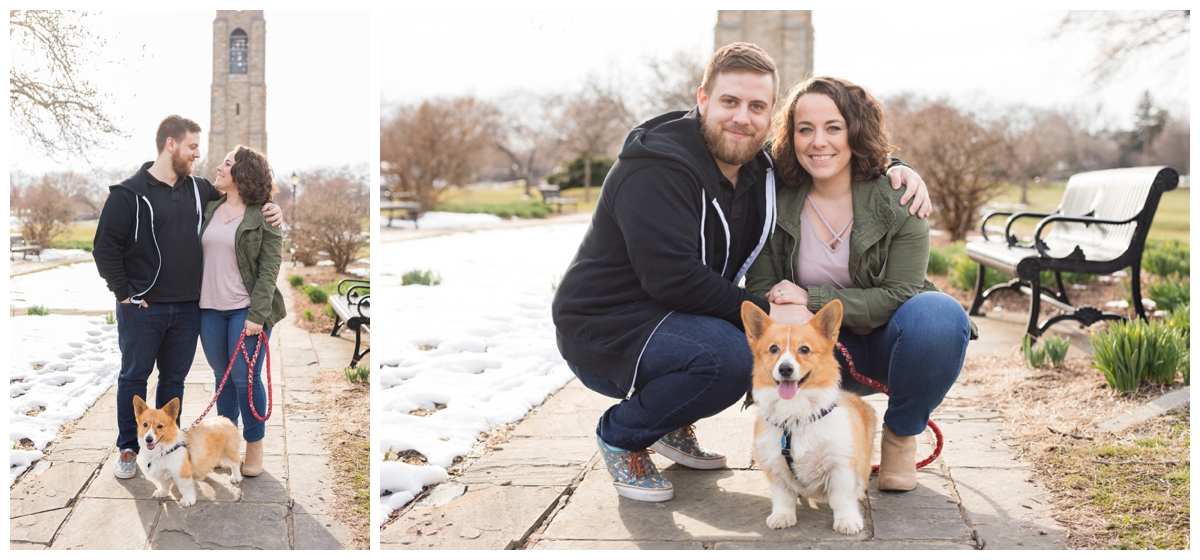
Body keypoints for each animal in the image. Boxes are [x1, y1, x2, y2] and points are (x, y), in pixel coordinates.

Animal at [734, 299, 878, 537]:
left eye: (804, 349)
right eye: (773, 349)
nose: (785, 369)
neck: (795, 414)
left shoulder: (840, 464)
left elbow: (842, 498)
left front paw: (847, 520)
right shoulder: (775, 465)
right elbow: (783, 496)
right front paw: (782, 516)